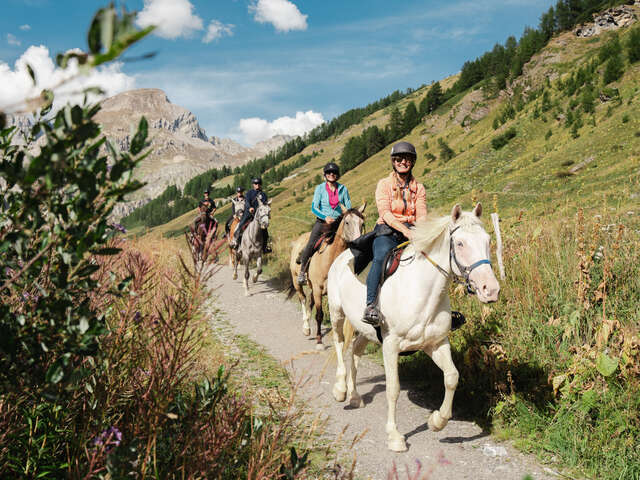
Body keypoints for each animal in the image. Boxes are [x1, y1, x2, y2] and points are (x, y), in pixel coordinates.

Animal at [290, 202, 364, 348]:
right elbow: (319, 315)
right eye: (347, 222)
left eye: (362, 223)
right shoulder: (318, 289)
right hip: (297, 282)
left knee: (310, 302)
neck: (329, 259)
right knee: (303, 299)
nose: (358, 242)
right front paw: (319, 341)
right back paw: (306, 328)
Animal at [330, 204, 500, 452]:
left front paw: (437, 421)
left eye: (487, 240)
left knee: (355, 351)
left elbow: (452, 377)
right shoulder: (390, 346)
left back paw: (355, 396)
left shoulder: (436, 344)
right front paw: (394, 436)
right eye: (460, 243)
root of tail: (343, 256)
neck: (420, 291)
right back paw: (341, 390)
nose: (491, 290)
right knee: (339, 345)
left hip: (366, 331)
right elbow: (393, 389)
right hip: (337, 314)